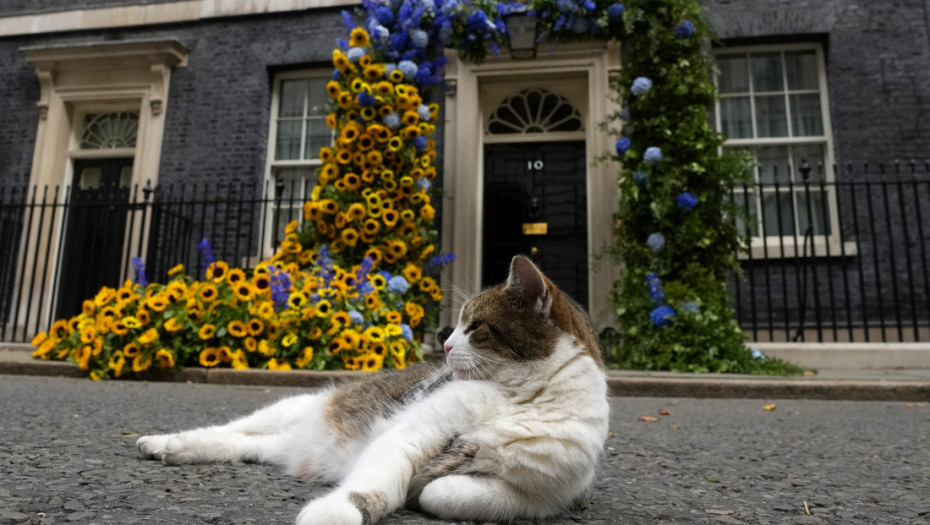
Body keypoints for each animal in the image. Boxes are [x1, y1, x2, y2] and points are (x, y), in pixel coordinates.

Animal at [136, 253, 608, 520]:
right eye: (458, 326)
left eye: (474, 327)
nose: (445, 345)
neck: (522, 398)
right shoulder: (413, 433)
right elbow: (377, 483)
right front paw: (334, 513)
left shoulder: (537, 496)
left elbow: (447, 493)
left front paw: (429, 492)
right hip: (294, 407)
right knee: (232, 428)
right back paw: (165, 442)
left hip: (285, 445)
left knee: (245, 445)